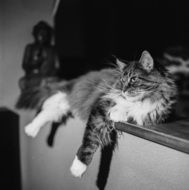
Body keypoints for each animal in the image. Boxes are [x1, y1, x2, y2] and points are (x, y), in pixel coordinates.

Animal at [16, 50, 177, 178]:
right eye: (122, 80)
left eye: (133, 79)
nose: (124, 90)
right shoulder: (100, 107)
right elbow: (90, 141)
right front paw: (77, 168)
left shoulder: (151, 115)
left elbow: (130, 112)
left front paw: (118, 113)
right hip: (68, 97)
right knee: (48, 107)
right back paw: (31, 129)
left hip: (67, 103)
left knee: (51, 111)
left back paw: (32, 131)